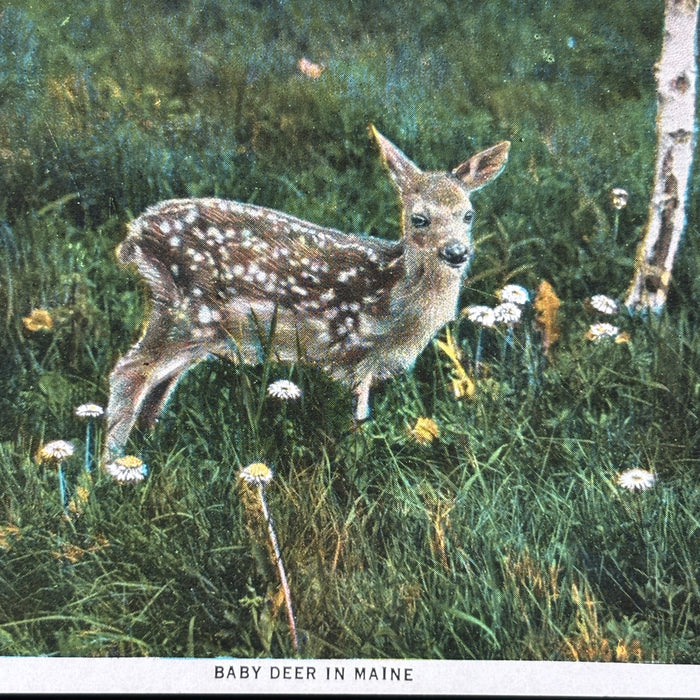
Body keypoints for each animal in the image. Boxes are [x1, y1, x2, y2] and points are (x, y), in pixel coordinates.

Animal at [103, 125, 510, 465]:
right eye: (419, 219)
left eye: (468, 215)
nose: (457, 252)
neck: (395, 297)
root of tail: (135, 234)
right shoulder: (355, 352)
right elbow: (358, 418)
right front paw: (356, 462)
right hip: (186, 312)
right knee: (129, 372)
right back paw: (111, 468)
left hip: (194, 327)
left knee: (160, 381)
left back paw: (146, 446)